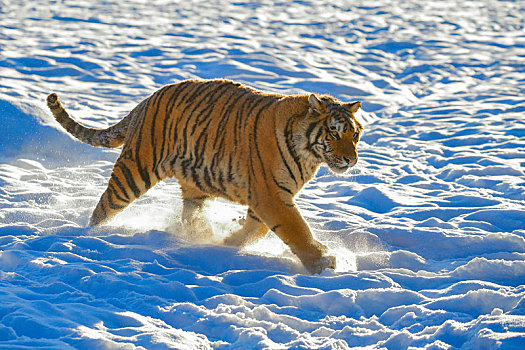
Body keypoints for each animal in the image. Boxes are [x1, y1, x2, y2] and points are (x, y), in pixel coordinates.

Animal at [47, 79, 362, 274]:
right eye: (334, 133)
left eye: (355, 134)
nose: (351, 159)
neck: (311, 157)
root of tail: (147, 100)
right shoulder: (271, 195)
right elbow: (297, 228)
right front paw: (323, 261)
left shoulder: (269, 196)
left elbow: (255, 230)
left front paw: (225, 244)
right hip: (136, 169)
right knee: (105, 205)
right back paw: (92, 235)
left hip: (195, 180)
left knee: (191, 213)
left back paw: (198, 235)